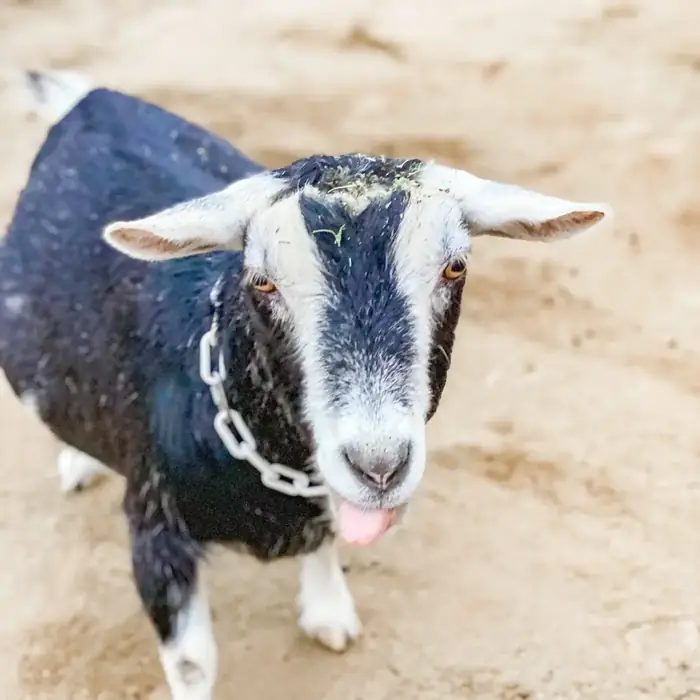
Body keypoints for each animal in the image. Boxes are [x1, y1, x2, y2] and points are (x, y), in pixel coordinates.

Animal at [0, 69, 612, 700]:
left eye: (455, 267)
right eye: (262, 281)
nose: (379, 466)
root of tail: (92, 99)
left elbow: (326, 537)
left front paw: (327, 610)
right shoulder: (155, 530)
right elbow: (193, 664)